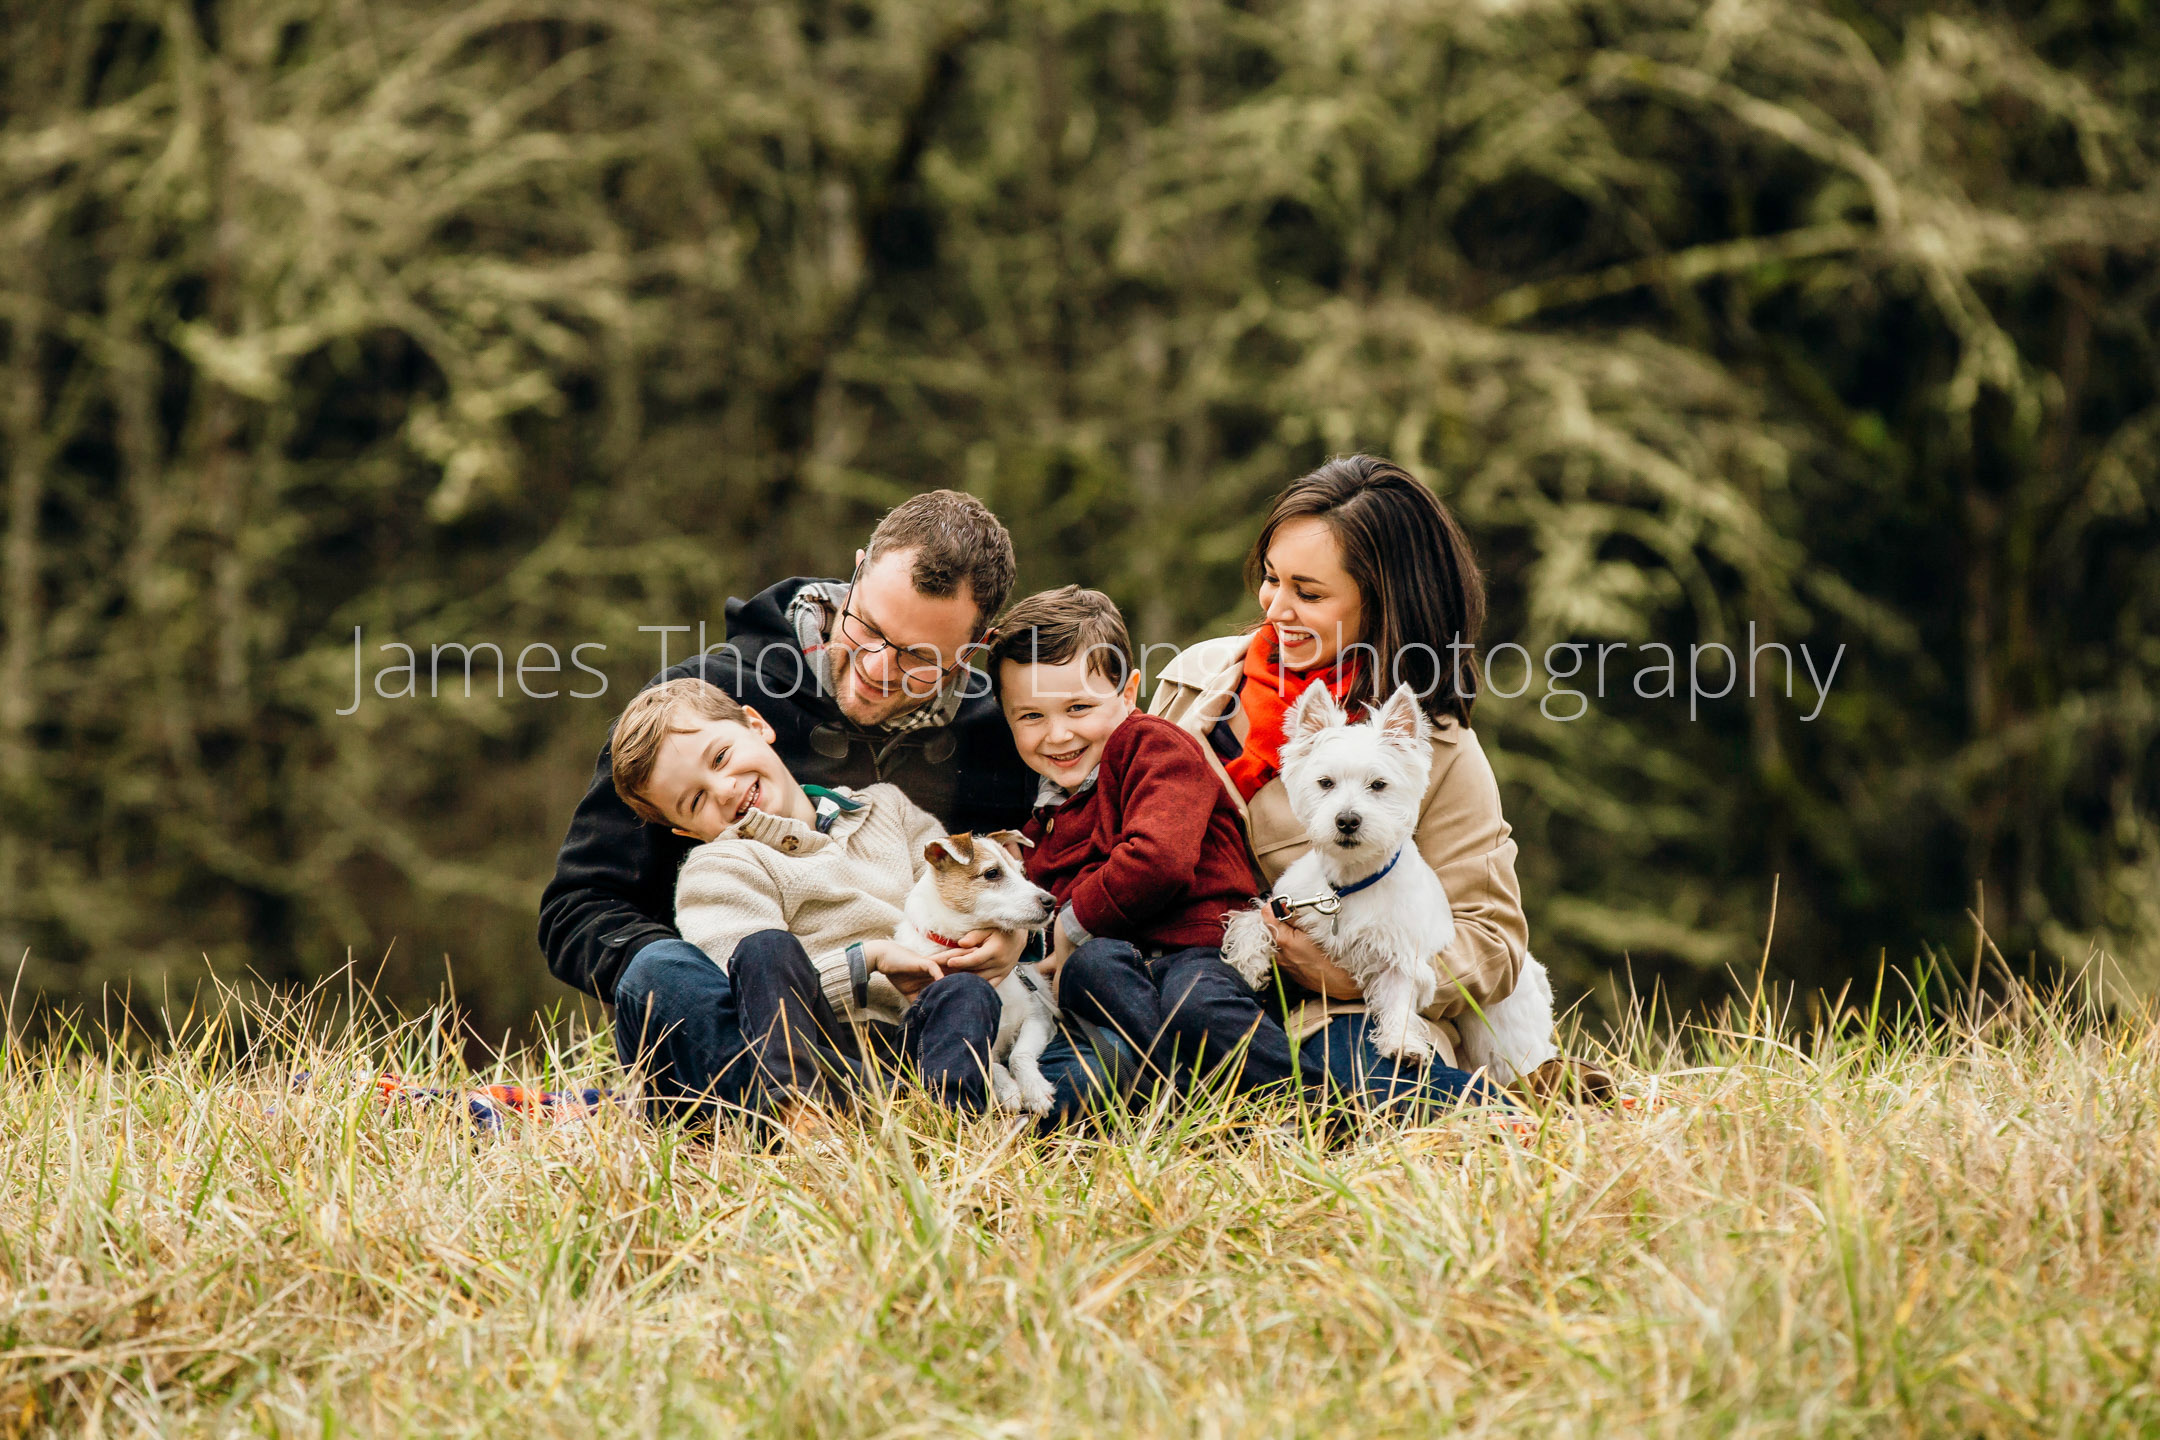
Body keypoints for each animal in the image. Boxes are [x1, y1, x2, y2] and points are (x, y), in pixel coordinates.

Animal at [894, 833, 1062, 1114]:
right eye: (992, 873)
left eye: (1022, 872)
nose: (1050, 901)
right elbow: (992, 1065)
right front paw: (1008, 1090)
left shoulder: (1038, 1018)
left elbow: (1019, 1055)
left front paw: (1034, 1088)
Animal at [1226, 686, 1563, 1079]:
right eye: (1325, 783)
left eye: (1378, 785)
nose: (1347, 820)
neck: (1345, 888)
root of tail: (1531, 969)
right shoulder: (1285, 904)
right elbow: (1250, 920)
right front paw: (1250, 963)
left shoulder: (1399, 956)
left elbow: (1399, 1002)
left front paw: (1403, 1046)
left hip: (1503, 1036)